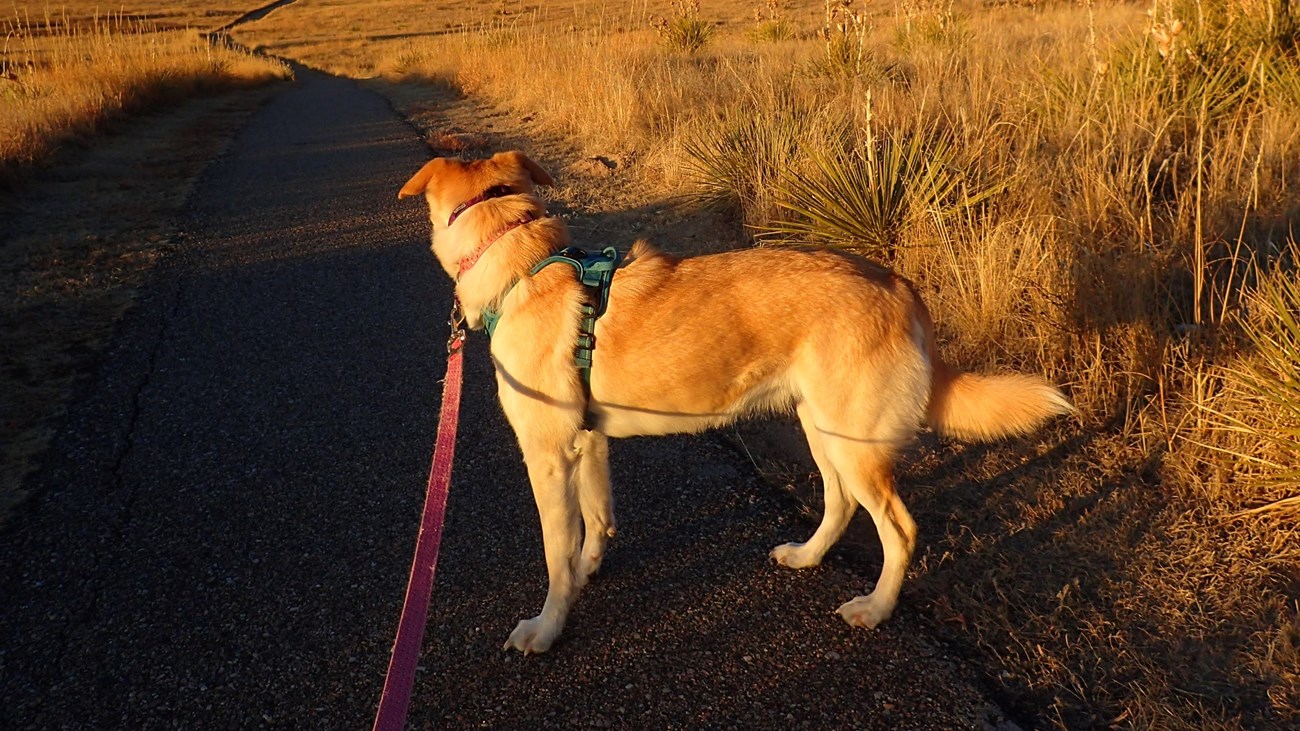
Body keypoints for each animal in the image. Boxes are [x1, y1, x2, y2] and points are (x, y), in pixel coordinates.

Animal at [400, 150, 1071, 650]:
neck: (524, 266)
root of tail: (897, 282)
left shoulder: (548, 456)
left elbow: (554, 552)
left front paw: (547, 626)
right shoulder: (587, 442)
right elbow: (596, 517)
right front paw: (591, 567)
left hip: (855, 444)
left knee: (899, 529)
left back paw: (876, 607)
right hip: (825, 431)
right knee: (839, 503)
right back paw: (808, 556)